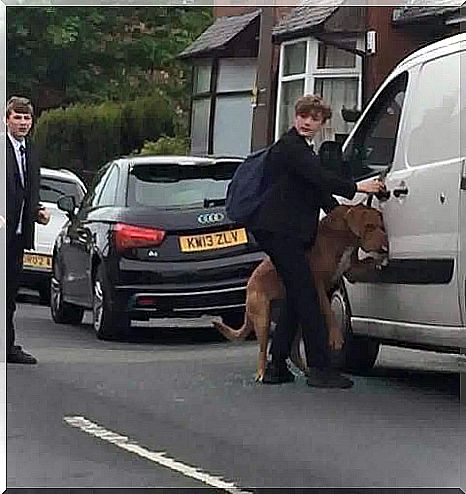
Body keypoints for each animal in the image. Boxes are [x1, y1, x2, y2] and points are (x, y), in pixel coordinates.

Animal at [213, 205, 388, 382]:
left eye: (382, 226)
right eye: (369, 226)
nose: (385, 244)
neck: (343, 234)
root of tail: (249, 285)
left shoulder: (351, 270)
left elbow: (367, 263)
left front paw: (380, 262)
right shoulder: (318, 283)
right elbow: (329, 311)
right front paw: (336, 337)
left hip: (294, 320)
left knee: (293, 351)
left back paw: (308, 371)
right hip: (263, 318)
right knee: (262, 351)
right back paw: (262, 374)